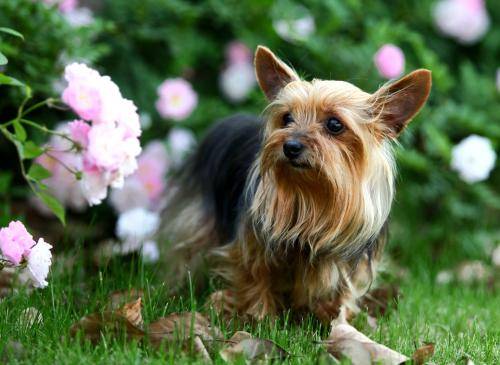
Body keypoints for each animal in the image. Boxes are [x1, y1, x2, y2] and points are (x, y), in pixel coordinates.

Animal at [162, 45, 432, 322]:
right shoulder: (251, 245)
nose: (290, 146)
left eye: (335, 124)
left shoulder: (350, 264)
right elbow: (254, 277)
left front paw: (336, 320)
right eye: (287, 118)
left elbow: (342, 291)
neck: (311, 197)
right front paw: (260, 318)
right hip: (198, 218)